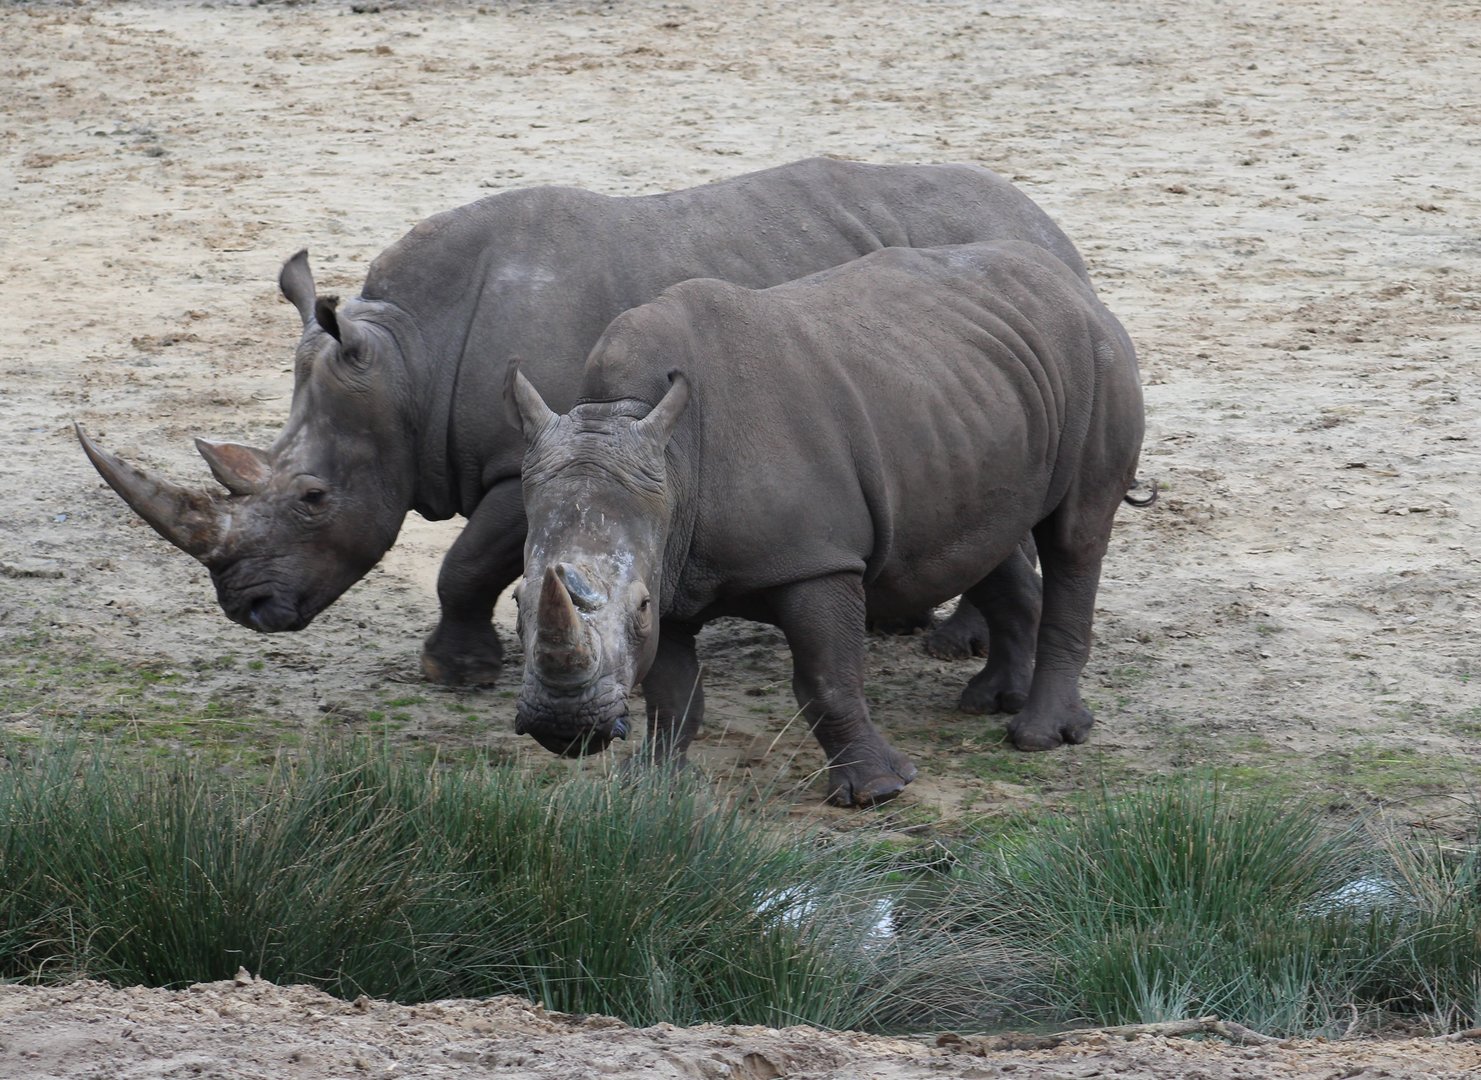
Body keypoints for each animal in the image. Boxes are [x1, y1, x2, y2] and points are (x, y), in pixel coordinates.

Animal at [79, 159, 1086, 687]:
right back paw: (922, 632)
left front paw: (457, 671)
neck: (408, 361)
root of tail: (1052, 231)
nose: (245, 611)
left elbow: (465, 562)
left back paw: (951, 644)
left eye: (315, 499)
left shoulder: (524, 458)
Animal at [508, 240, 1146, 807]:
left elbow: (826, 679)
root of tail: (1073, 283)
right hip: (972, 393)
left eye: (638, 606)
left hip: (1096, 357)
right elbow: (670, 693)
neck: (654, 444)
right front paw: (651, 789)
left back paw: (1037, 738)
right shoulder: (670, 561)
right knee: (983, 534)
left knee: (1073, 539)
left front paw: (878, 792)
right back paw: (990, 701)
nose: (563, 728)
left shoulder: (813, 559)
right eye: (518, 601)